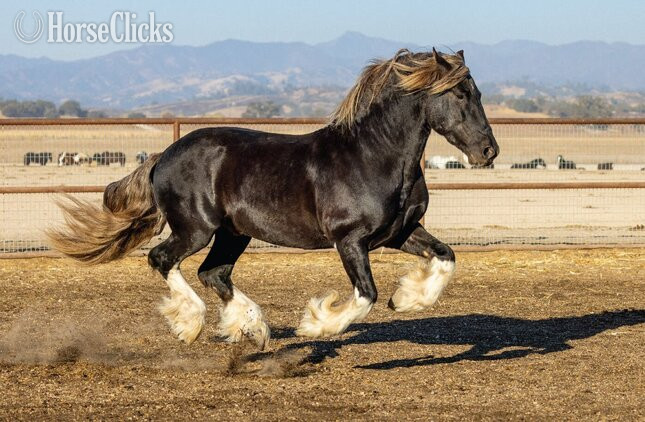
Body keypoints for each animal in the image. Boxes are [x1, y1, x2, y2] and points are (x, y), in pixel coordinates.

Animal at [47, 48, 498, 350]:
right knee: (164, 259)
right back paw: (191, 324)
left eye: (477, 92)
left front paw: (406, 298)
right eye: (459, 93)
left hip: (234, 233)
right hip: (196, 229)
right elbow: (365, 295)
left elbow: (445, 257)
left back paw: (251, 328)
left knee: (214, 273)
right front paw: (316, 325)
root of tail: (164, 156)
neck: (373, 155)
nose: (488, 152)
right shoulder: (350, 240)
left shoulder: (399, 232)